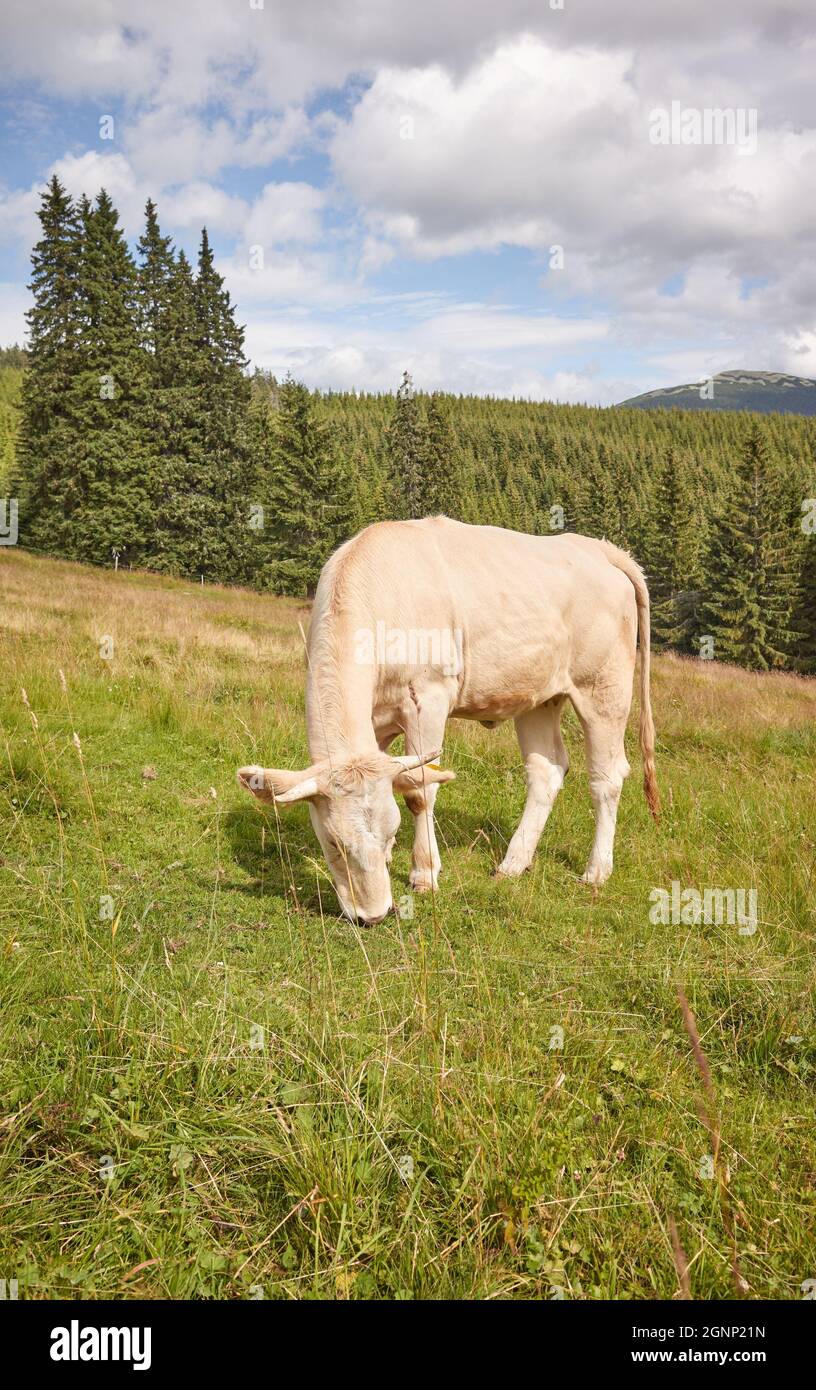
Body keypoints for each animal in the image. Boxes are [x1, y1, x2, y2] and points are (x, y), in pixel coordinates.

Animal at [238, 517, 659, 925]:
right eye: (333, 844)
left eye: (390, 831)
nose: (373, 916)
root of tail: (597, 548)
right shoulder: (375, 725)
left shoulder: (429, 698)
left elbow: (420, 790)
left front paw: (424, 872)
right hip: (538, 696)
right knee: (547, 769)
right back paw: (513, 863)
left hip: (604, 687)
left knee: (606, 777)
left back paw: (596, 870)